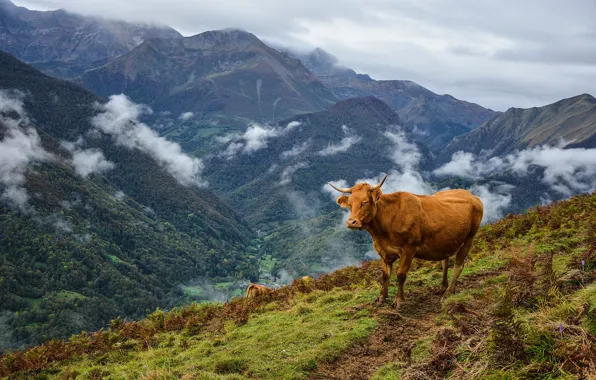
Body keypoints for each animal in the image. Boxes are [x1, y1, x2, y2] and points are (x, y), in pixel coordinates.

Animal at [330, 175, 484, 308]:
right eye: (350, 204)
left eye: (365, 202)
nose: (351, 222)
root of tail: (472, 196)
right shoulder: (384, 251)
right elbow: (385, 275)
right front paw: (381, 298)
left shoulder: (409, 249)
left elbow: (401, 275)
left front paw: (399, 300)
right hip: (446, 241)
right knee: (445, 262)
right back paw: (443, 286)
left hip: (470, 238)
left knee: (458, 265)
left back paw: (448, 293)